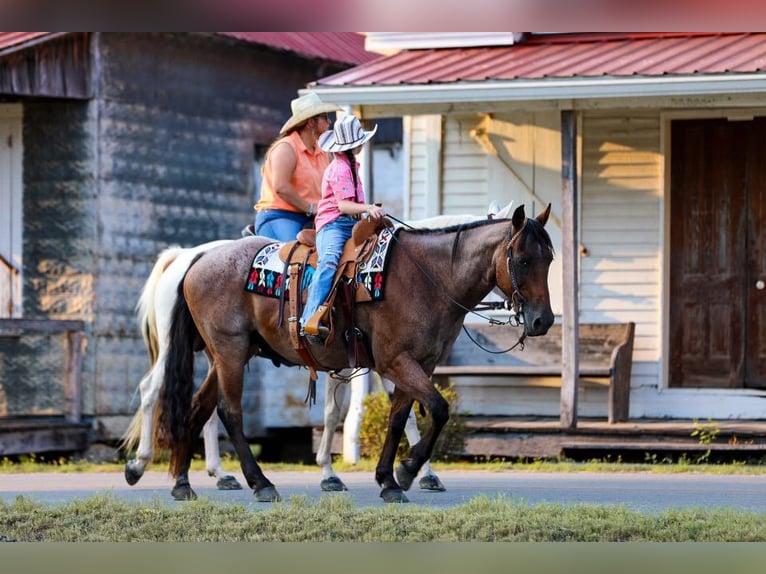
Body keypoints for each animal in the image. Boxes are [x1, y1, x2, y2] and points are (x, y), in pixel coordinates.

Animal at [157, 202, 554, 503]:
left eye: (549, 259)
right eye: (521, 260)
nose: (543, 320)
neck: (428, 277)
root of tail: (200, 258)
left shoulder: (419, 365)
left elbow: (399, 418)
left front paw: (390, 480)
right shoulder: (396, 362)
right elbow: (439, 410)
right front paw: (408, 470)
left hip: (226, 355)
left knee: (199, 407)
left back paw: (183, 483)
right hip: (231, 351)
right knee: (228, 411)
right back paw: (260, 483)